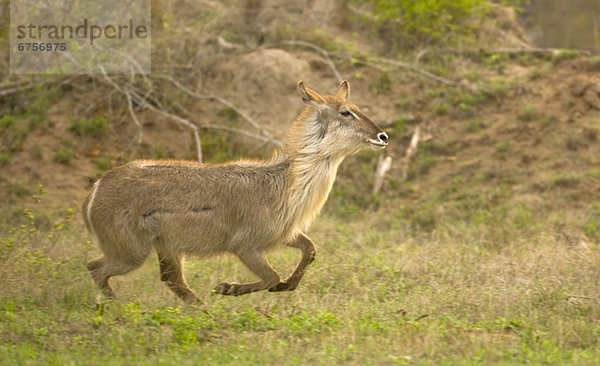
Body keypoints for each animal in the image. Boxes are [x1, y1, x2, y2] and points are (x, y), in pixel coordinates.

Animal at [83, 81, 390, 302]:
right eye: (345, 112)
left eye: (357, 106)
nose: (383, 136)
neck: (286, 184)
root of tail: (95, 190)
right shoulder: (245, 246)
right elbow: (272, 277)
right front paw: (227, 288)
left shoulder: (283, 234)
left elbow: (310, 249)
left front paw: (288, 286)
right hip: (131, 251)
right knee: (96, 268)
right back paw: (119, 308)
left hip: (165, 247)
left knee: (172, 280)